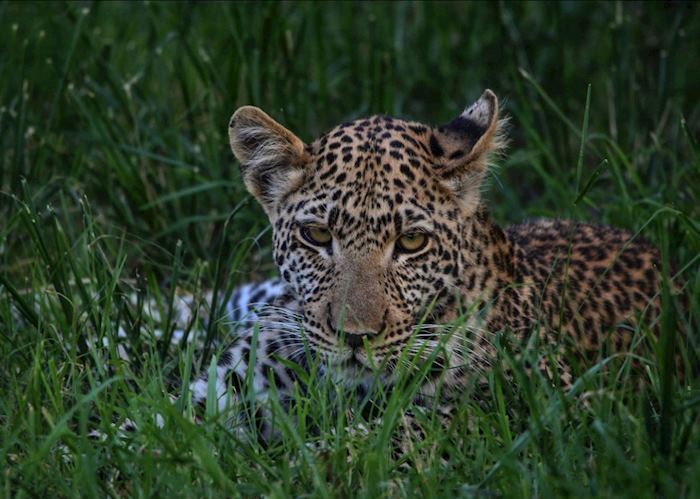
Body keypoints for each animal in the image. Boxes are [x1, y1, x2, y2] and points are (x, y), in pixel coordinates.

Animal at [186, 89, 688, 435]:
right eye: (317, 236)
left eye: (411, 242)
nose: (355, 337)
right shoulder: (229, 387)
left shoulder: (555, 401)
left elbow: (401, 433)